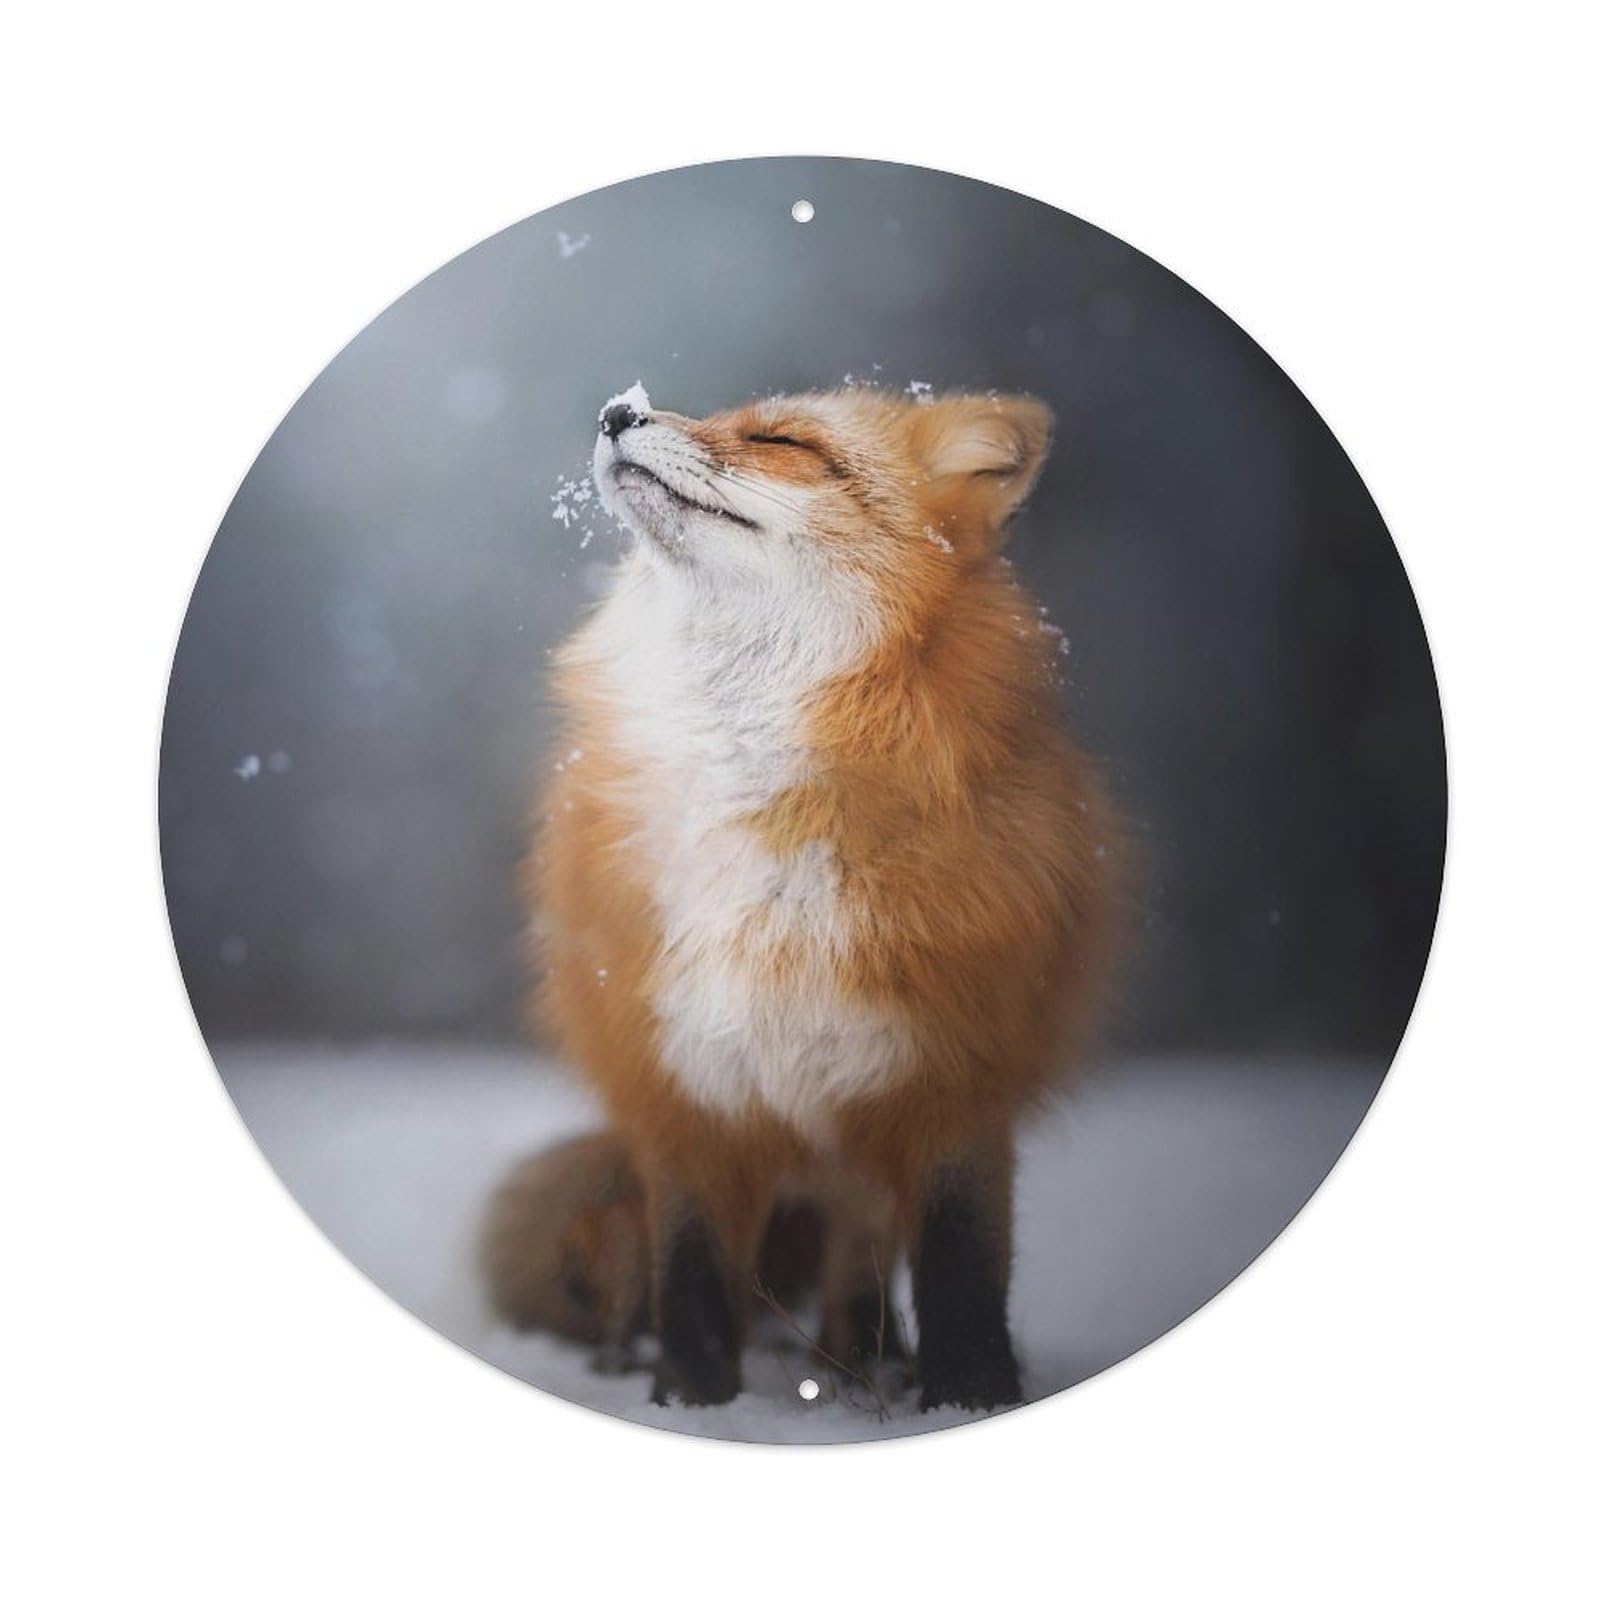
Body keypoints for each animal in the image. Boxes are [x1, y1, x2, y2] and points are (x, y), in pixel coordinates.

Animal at [508, 382, 1121, 1411]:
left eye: (781, 440)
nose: (616, 412)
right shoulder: (685, 1080)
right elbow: (692, 1274)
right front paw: (693, 1404)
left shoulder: (955, 1075)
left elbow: (962, 1269)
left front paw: (971, 1398)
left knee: (859, 1267)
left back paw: (860, 1369)